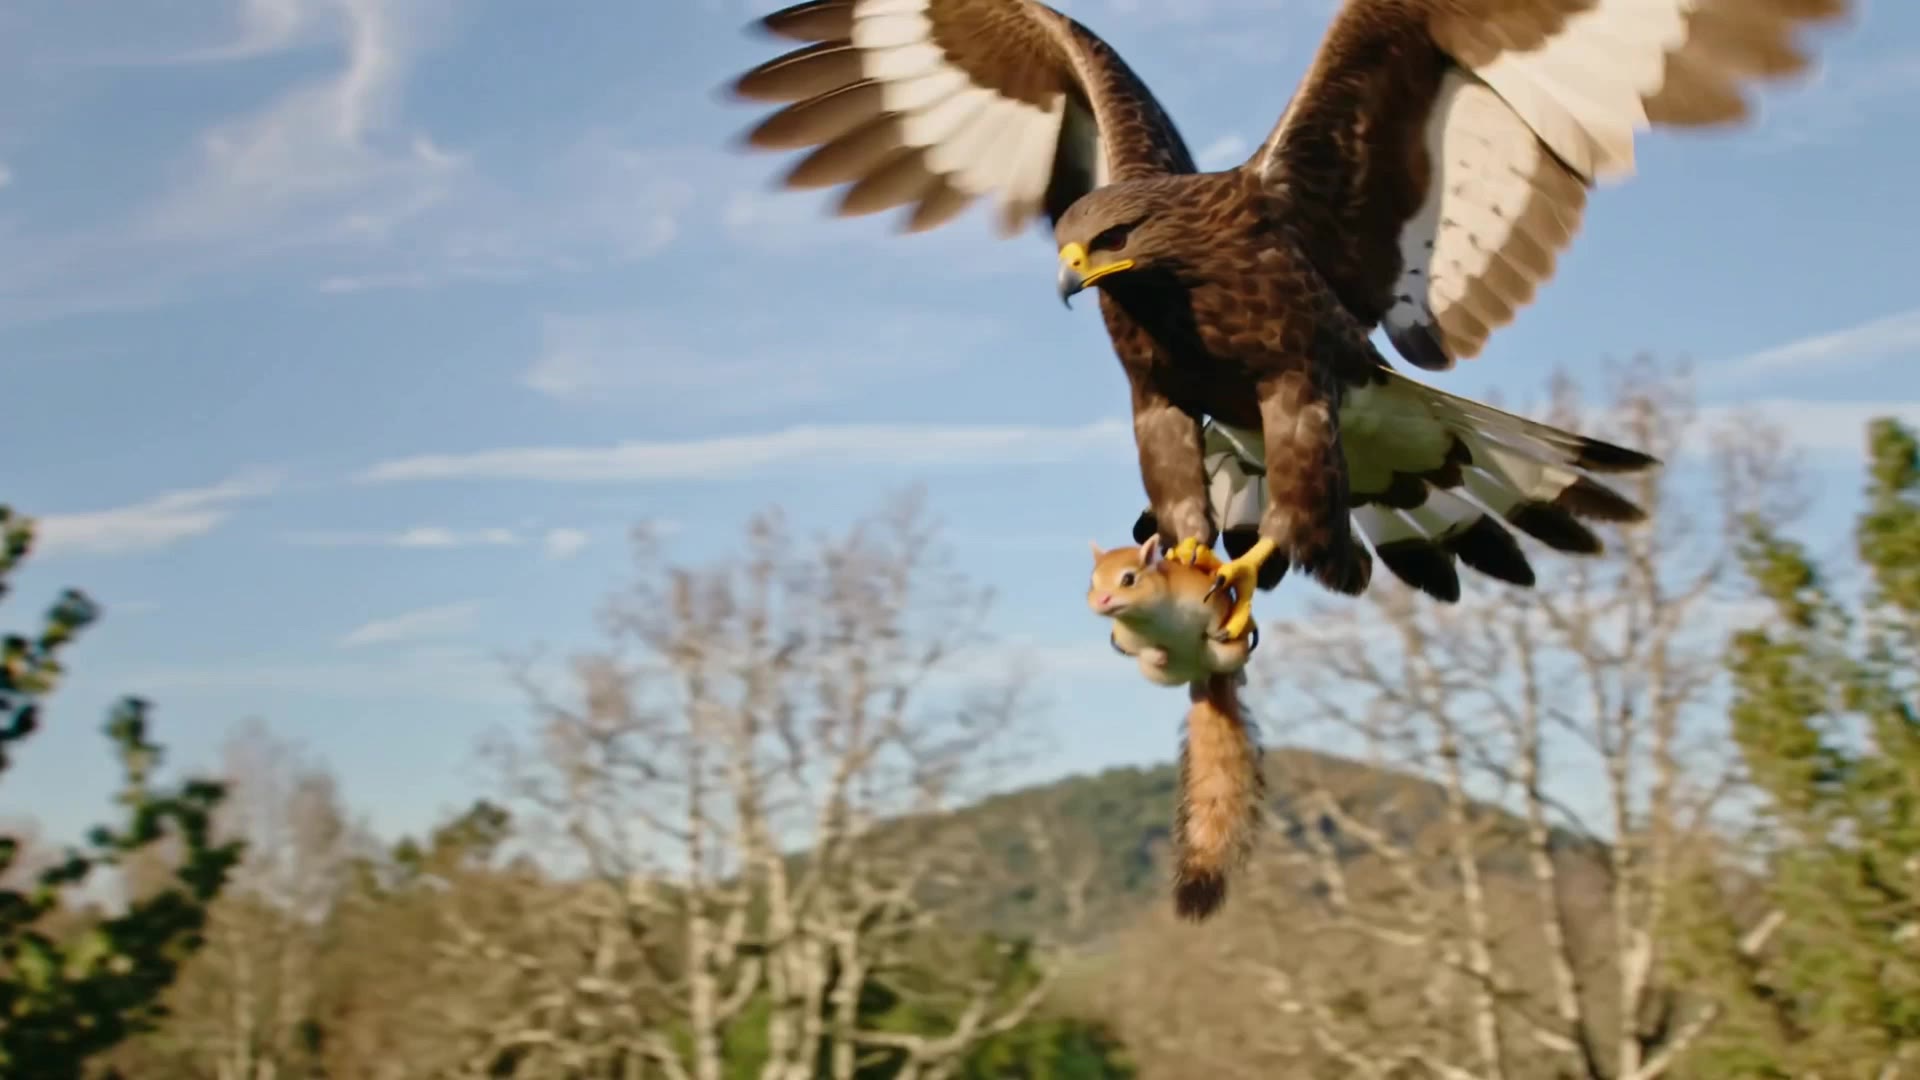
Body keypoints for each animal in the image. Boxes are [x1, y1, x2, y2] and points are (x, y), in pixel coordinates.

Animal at [1087, 535, 1266, 922]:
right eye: (1092, 581)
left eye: (1129, 578)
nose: (1102, 601)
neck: (1149, 618)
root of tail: (1205, 680)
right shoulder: (1129, 637)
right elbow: (1143, 650)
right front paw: (1157, 652)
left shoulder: (1202, 598)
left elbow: (1215, 618)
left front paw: (1219, 631)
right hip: (1164, 676)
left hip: (1224, 660)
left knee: (1231, 656)